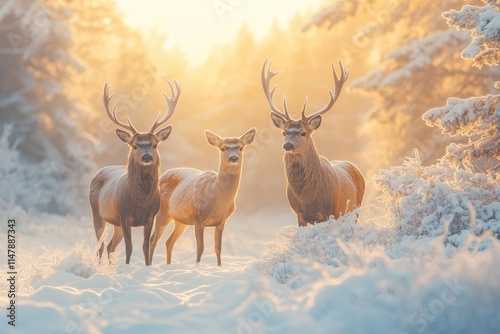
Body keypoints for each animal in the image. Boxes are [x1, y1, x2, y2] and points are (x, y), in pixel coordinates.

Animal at [89, 79, 181, 264]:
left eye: (155, 144)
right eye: (135, 145)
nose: (146, 157)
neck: (141, 201)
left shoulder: (150, 217)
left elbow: (146, 246)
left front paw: (147, 266)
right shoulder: (124, 216)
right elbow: (129, 247)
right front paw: (127, 266)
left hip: (115, 223)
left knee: (110, 246)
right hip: (97, 214)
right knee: (100, 247)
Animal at [147, 127, 258, 266]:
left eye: (241, 147)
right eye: (222, 148)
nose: (233, 158)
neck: (216, 199)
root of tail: (162, 175)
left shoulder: (221, 222)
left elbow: (218, 248)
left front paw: (219, 266)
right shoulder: (198, 218)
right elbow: (200, 248)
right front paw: (197, 265)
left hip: (180, 220)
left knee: (169, 242)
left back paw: (168, 265)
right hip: (162, 212)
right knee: (153, 240)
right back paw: (149, 266)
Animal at [262, 59, 364, 227]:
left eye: (303, 133)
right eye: (284, 132)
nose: (288, 145)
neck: (307, 199)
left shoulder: (329, 213)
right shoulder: (299, 215)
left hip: (355, 209)